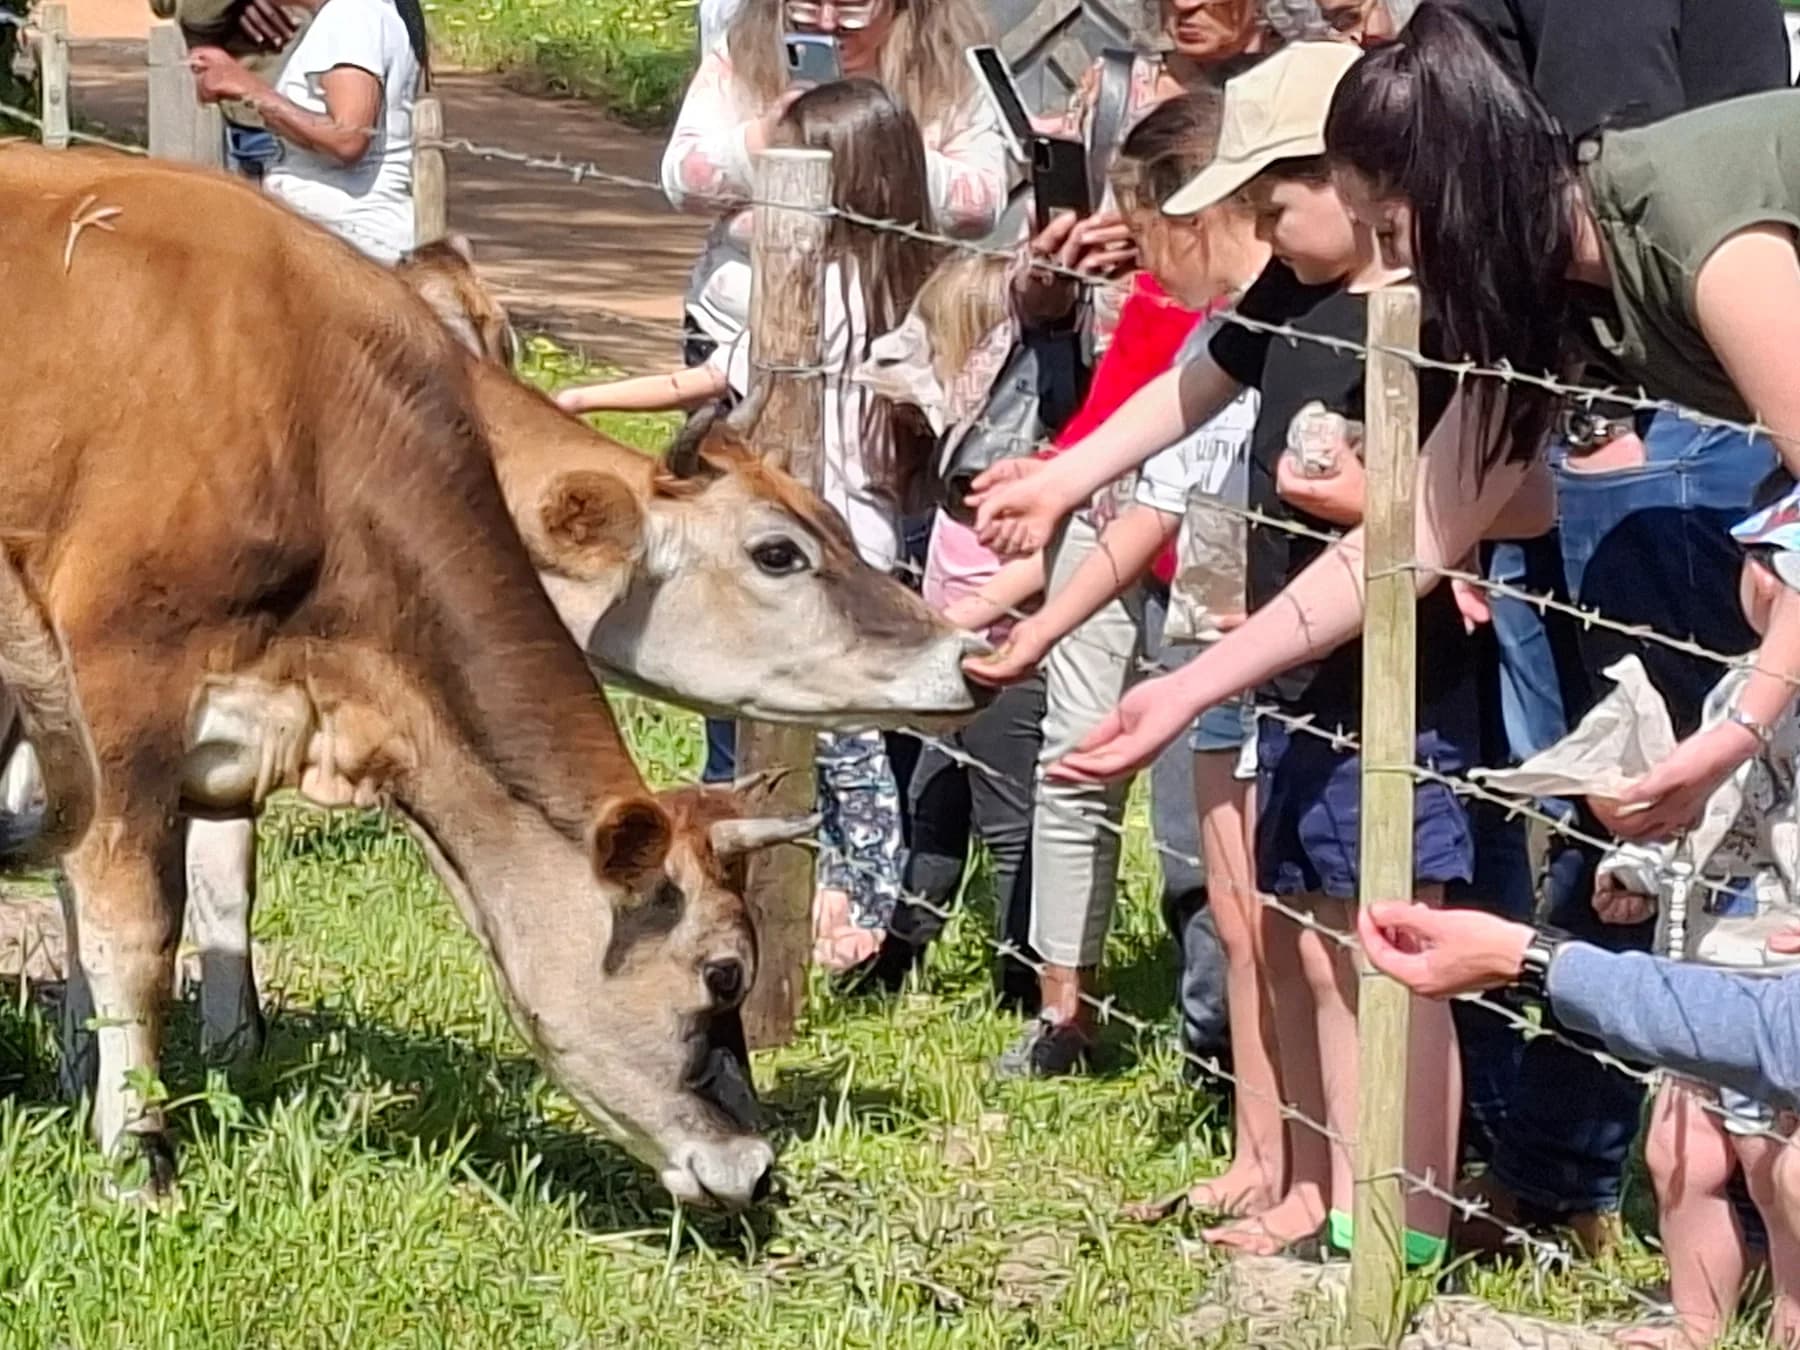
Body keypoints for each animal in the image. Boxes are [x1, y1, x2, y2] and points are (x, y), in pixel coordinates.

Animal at [0, 143, 823, 1207]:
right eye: (724, 971)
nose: (758, 1169)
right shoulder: (119, 672)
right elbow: (134, 923)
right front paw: (136, 1156)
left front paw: (85, 1083)